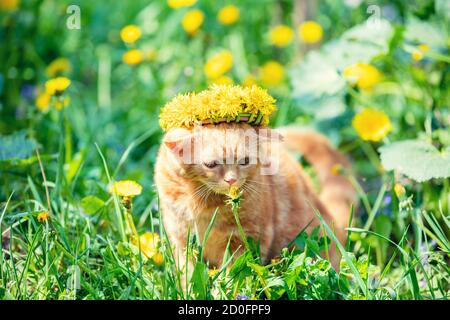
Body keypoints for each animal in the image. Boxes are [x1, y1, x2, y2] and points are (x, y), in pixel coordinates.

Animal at [156, 122, 358, 270]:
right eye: (211, 164)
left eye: (245, 161)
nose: (231, 179)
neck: (206, 206)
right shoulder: (182, 244)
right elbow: (188, 277)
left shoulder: (247, 241)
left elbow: (235, 277)